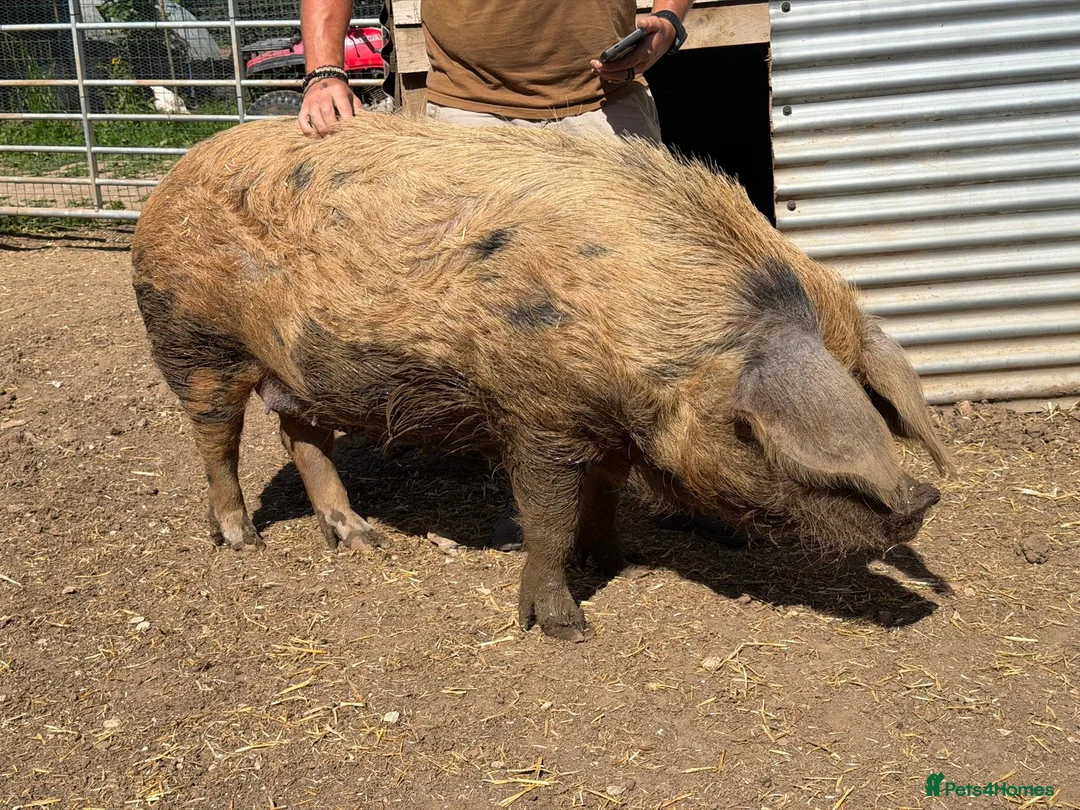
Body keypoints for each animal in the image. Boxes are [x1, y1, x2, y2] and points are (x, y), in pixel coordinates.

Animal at [131, 113, 951, 641]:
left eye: (864, 394)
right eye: (754, 434)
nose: (920, 500)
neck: (642, 332)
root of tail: (168, 177)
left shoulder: (610, 424)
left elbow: (604, 493)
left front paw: (614, 559)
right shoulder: (538, 413)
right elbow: (549, 516)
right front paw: (566, 628)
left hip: (298, 369)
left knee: (303, 438)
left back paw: (361, 541)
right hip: (193, 343)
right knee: (217, 442)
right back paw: (241, 542)